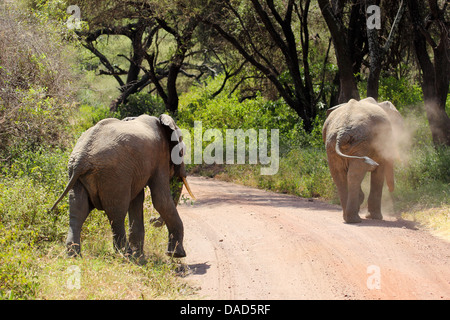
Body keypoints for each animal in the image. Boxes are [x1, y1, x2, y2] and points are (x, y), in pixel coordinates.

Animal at [51, 114, 195, 258]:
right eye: (182, 152)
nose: (152, 219)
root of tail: (81, 158)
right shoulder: (160, 157)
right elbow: (160, 200)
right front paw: (177, 255)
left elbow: (137, 200)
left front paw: (140, 256)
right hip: (113, 175)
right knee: (117, 212)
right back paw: (125, 253)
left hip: (78, 176)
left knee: (78, 210)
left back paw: (74, 255)